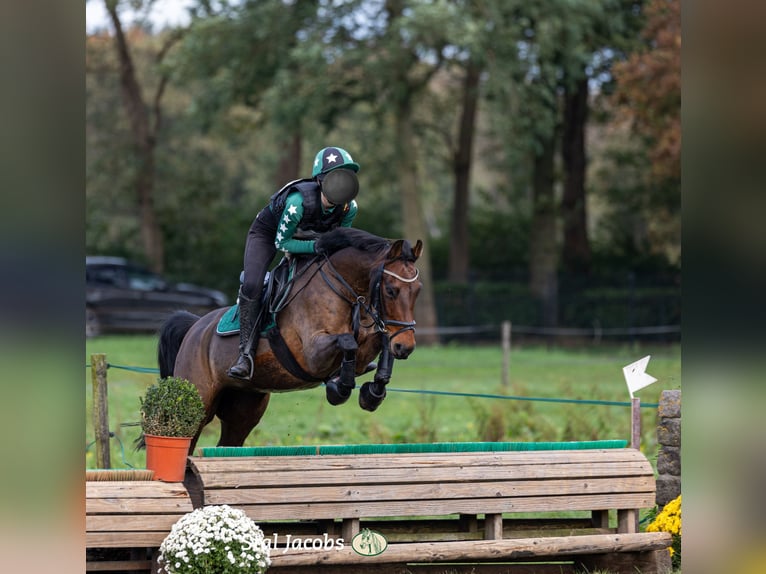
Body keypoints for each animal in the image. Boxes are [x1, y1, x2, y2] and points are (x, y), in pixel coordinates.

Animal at [156, 228, 426, 454]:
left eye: (418, 290)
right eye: (390, 290)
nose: (406, 347)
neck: (342, 289)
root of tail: (195, 327)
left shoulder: (367, 346)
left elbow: (382, 341)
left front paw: (372, 393)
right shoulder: (312, 356)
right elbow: (348, 342)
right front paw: (338, 389)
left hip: (243, 409)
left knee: (228, 442)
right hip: (198, 401)